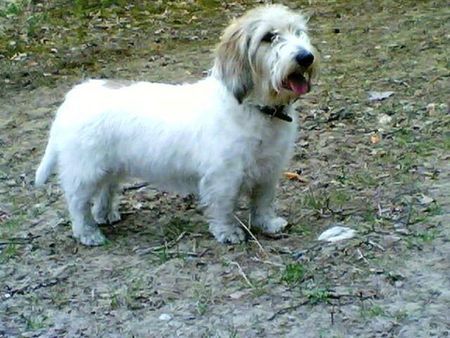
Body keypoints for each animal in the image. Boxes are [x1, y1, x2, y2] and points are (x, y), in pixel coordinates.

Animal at [35, 5, 318, 246]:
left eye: (298, 32)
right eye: (269, 37)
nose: (306, 57)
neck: (256, 109)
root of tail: (73, 97)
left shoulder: (268, 171)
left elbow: (263, 202)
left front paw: (268, 224)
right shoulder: (224, 177)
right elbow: (224, 207)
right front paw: (228, 233)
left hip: (109, 166)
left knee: (107, 189)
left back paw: (105, 214)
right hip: (85, 171)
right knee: (77, 203)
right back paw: (88, 233)